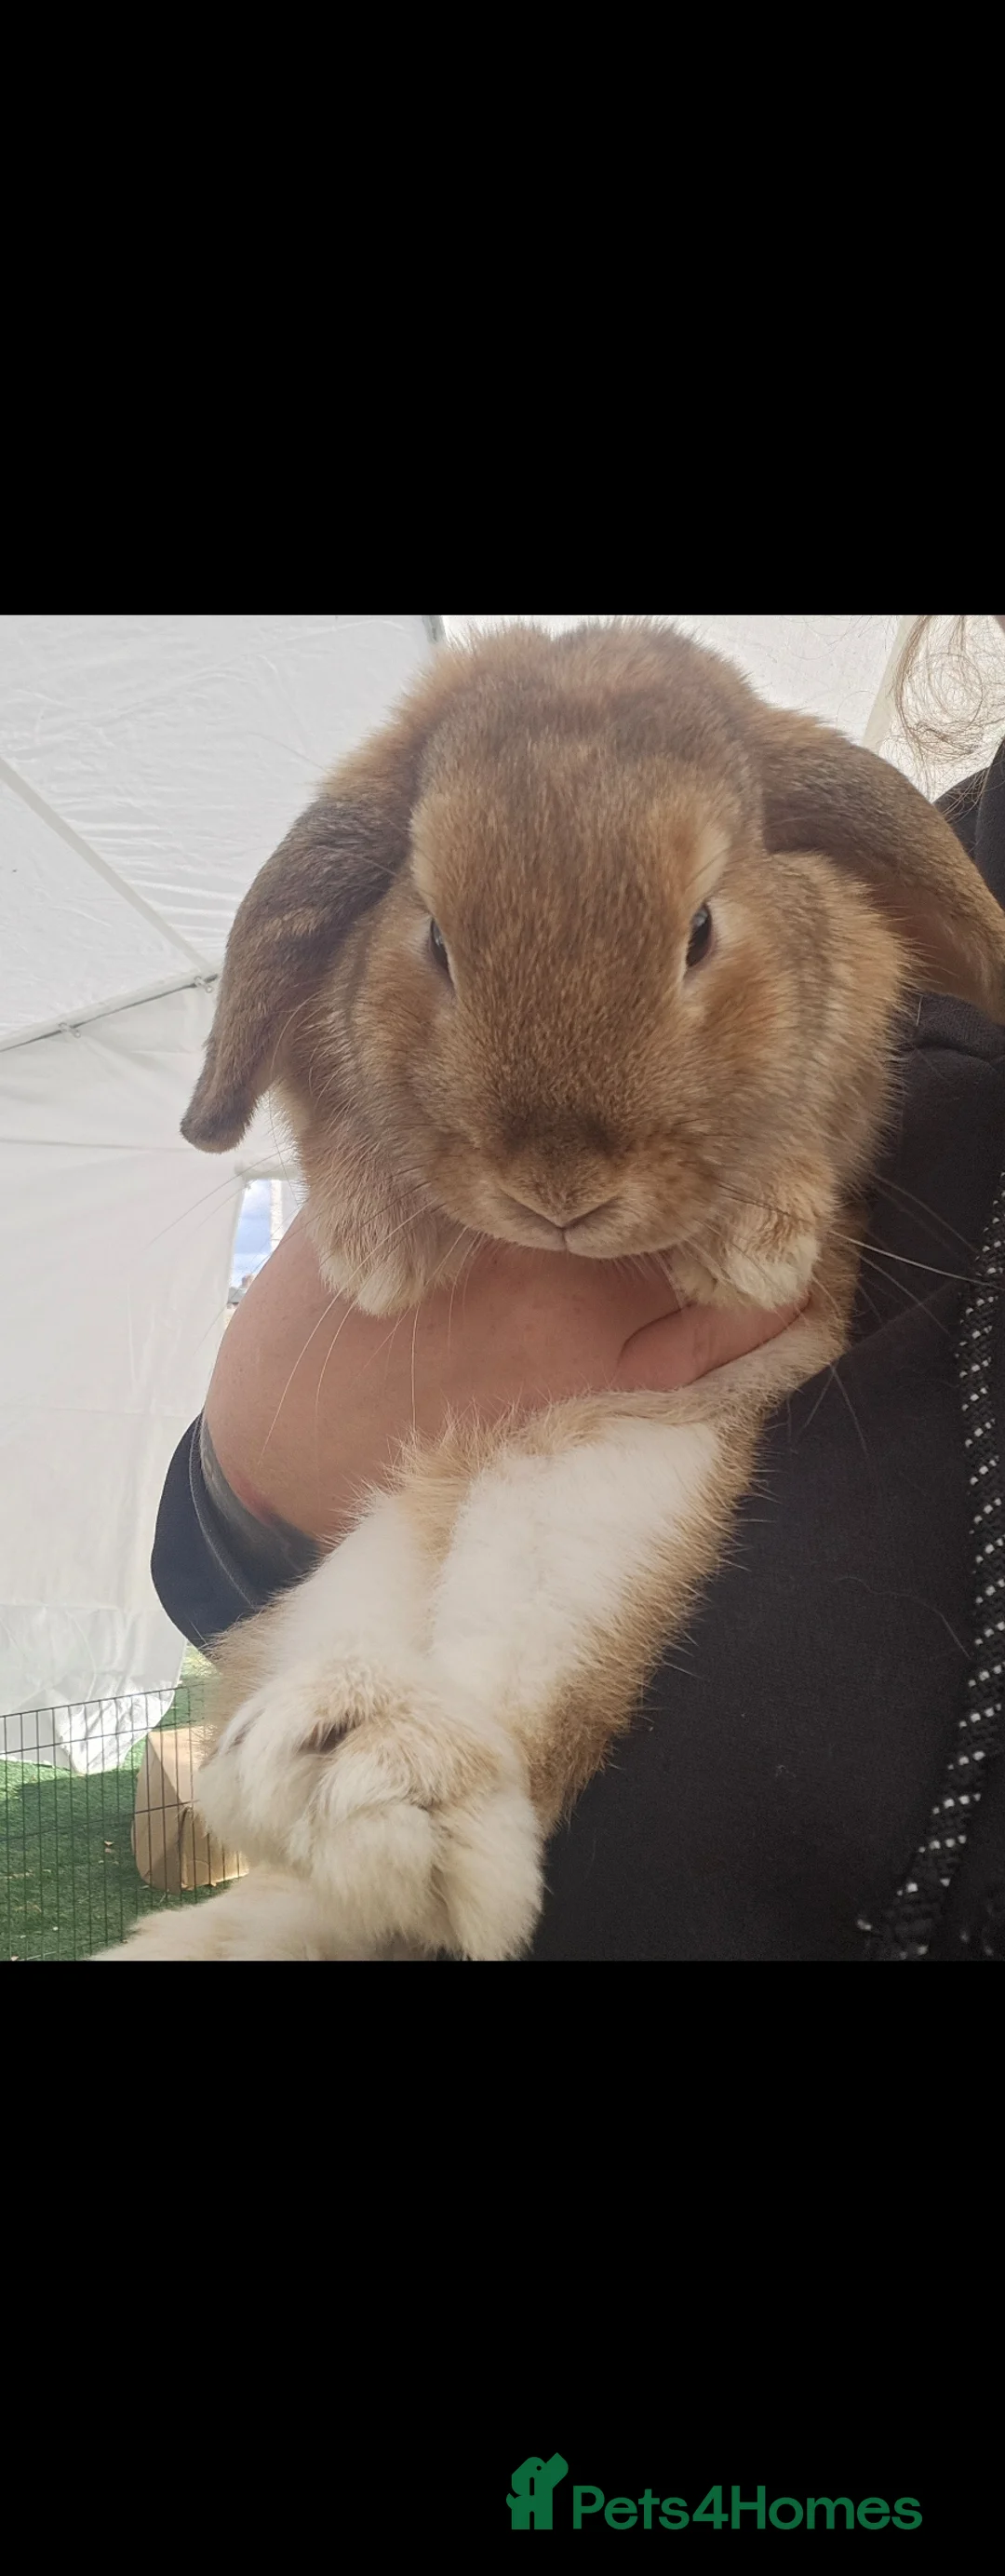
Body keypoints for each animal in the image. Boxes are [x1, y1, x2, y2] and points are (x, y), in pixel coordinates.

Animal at [96, 620, 1005, 1961]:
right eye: (434, 938)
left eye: (701, 928)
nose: (560, 1187)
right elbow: (340, 1138)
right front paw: (376, 1252)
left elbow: (807, 1150)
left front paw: (762, 1243)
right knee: (287, 1812)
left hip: (606, 1516)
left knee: (503, 1783)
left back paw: (392, 1784)